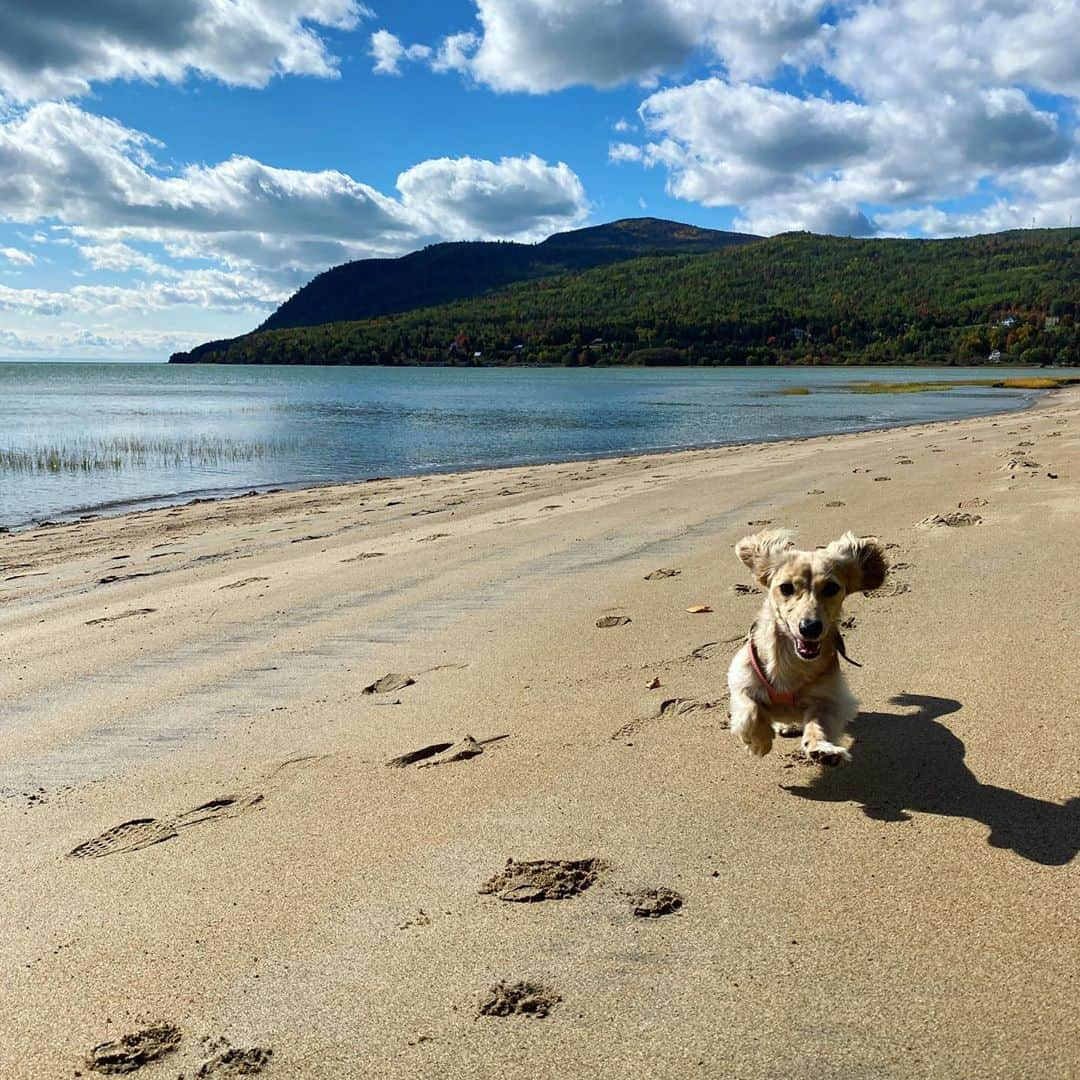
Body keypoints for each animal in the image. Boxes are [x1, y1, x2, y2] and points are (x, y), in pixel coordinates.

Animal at [725, 527, 885, 764]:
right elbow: (750, 710)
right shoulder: (741, 677)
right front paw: (759, 741)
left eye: (831, 588)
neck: (792, 661)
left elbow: (818, 724)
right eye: (786, 588)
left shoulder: (828, 698)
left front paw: (823, 749)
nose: (810, 627)